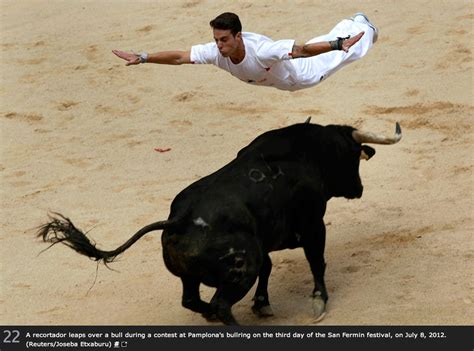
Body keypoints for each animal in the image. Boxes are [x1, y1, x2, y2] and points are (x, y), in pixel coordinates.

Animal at [37, 120, 402, 324]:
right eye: (353, 156)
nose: (358, 189)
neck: (310, 152)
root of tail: (178, 221)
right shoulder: (313, 224)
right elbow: (316, 262)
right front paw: (318, 302)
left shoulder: (264, 241)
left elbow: (270, 267)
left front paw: (263, 305)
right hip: (241, 269)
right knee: (221, 304)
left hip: (196, 273)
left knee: (191, 300)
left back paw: (211, 315)